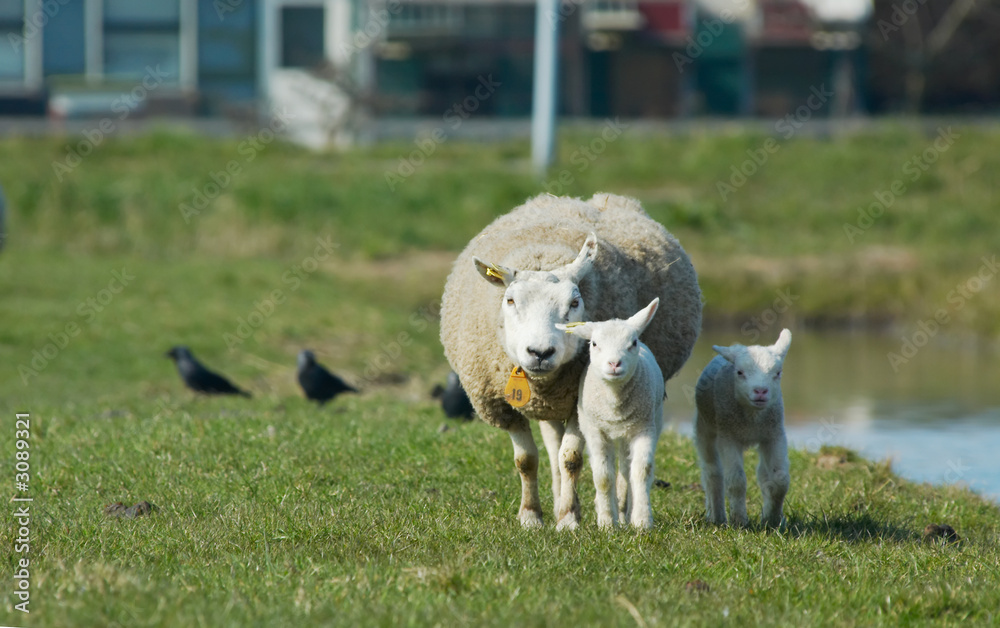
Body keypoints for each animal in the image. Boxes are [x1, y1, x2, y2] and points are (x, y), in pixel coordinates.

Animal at [556, 298, 664, 528]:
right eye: (594, 344)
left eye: (633, 343)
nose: (614, 363)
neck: (615, 404)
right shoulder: (595, 431)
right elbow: (603, 477)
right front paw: (606, 523)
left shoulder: (644, 428)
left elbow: (641, 471)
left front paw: (642, 521)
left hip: (645, 423)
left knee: (626, 468)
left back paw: (625, 513)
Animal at [692, 332, 792, 528]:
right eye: (739, 372)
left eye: (778, 373)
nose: (760, 391)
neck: (752, 418)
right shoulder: (728, 437)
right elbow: (736, 480)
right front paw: (739, 521)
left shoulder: (774, 436)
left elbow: (780, 480)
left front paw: (772, 519)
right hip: (705, 428)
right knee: (713, 473)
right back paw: (717, 517)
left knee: (763, 474)